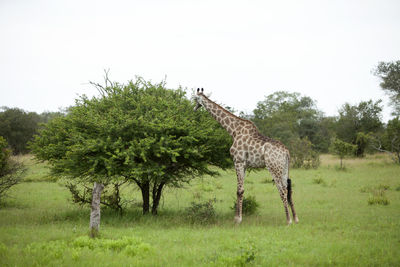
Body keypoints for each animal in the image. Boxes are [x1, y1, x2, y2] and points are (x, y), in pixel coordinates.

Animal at [192, 89, 298, 225]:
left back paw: (288, 220)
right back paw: (295, 218)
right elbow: (241, 189)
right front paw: (237, 217)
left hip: (274, 168)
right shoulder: (245, 164)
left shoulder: (238, 161)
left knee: (282, 190)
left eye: (194, 98)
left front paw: (237, 219)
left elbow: (239, 190)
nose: (194, 108)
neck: (233, 130)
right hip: (284, 168)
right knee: (288, 189)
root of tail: (287, 152)